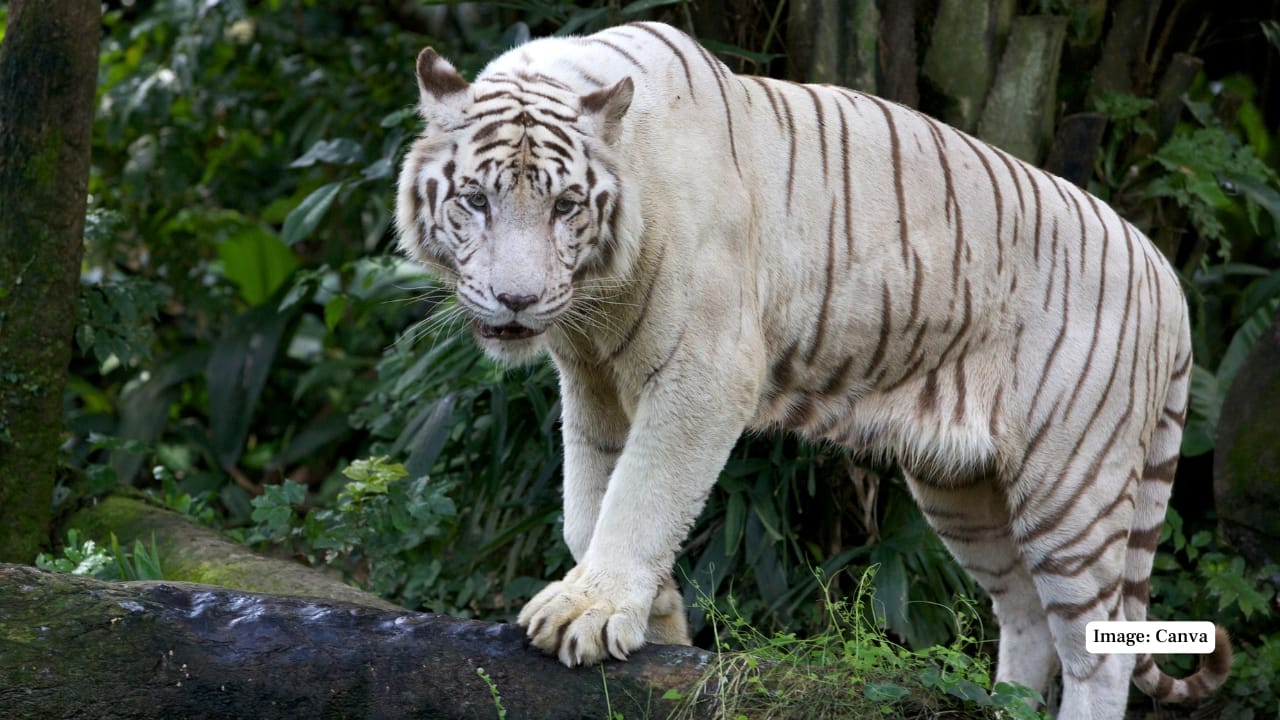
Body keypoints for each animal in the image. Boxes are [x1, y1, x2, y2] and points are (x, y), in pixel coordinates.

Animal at [393, 21, 1232, 719]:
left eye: (566, 206)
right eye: (474, 199)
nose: (518, 299)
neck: (595, 298)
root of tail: (1164, 268)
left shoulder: (704, 372)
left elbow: (641, 493)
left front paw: (591, 613)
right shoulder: (594, 380)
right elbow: (586, 507)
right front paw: (655, 617)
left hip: (1073, 482)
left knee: (1099, 648)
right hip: (962, 486)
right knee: (1025, 614)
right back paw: (1005, 709)